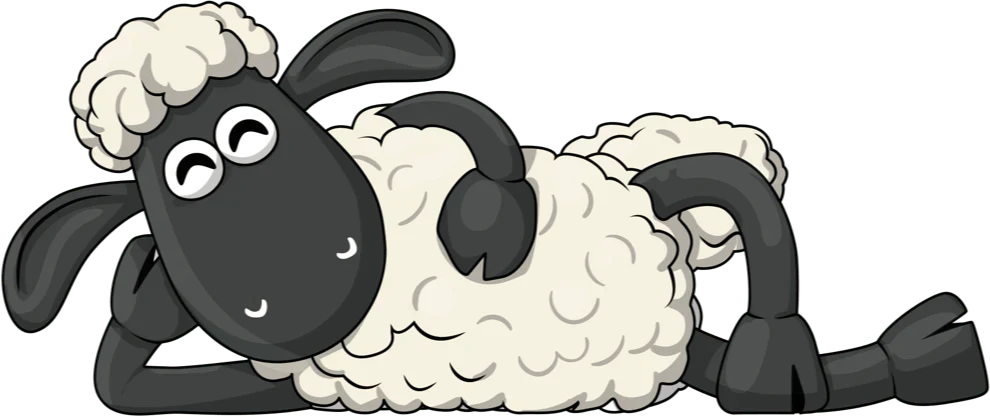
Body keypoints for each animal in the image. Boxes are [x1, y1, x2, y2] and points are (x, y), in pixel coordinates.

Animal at [4, 4, 985, 414]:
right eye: (184, 173)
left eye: (248, 135)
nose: (271, 290)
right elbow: (131, 384)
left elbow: (474, 135)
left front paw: (488, 220)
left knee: (731, 196)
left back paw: (787, 373)